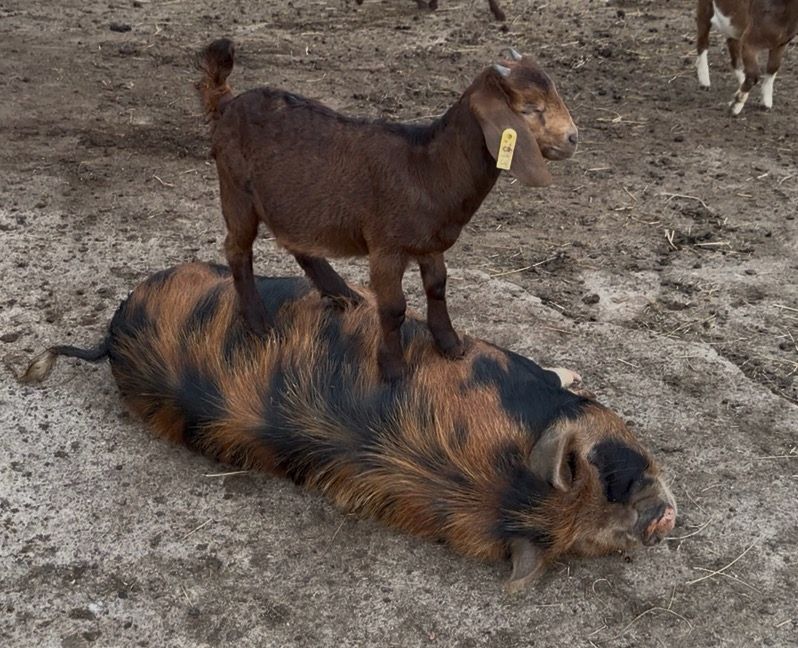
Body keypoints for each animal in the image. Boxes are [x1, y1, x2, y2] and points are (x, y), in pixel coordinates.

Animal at [23, 263, 676, 591]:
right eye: (616, 475)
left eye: (604, 540)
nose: (660, 521)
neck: (496, 475)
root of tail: (109, 340)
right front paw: (573, 371)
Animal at [196, 39, 578, 381]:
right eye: (529, 107)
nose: (573, 137)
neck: (425, 168)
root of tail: (227, 103)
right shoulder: (386, 246)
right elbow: (394, 308)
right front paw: (393, 368)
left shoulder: (430, 243)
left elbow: (437, 287)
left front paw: (451, 344)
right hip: (236, 189)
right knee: (237, 249)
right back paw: (259, 322)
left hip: (290, 201)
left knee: (296, 241)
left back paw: (342, 293)